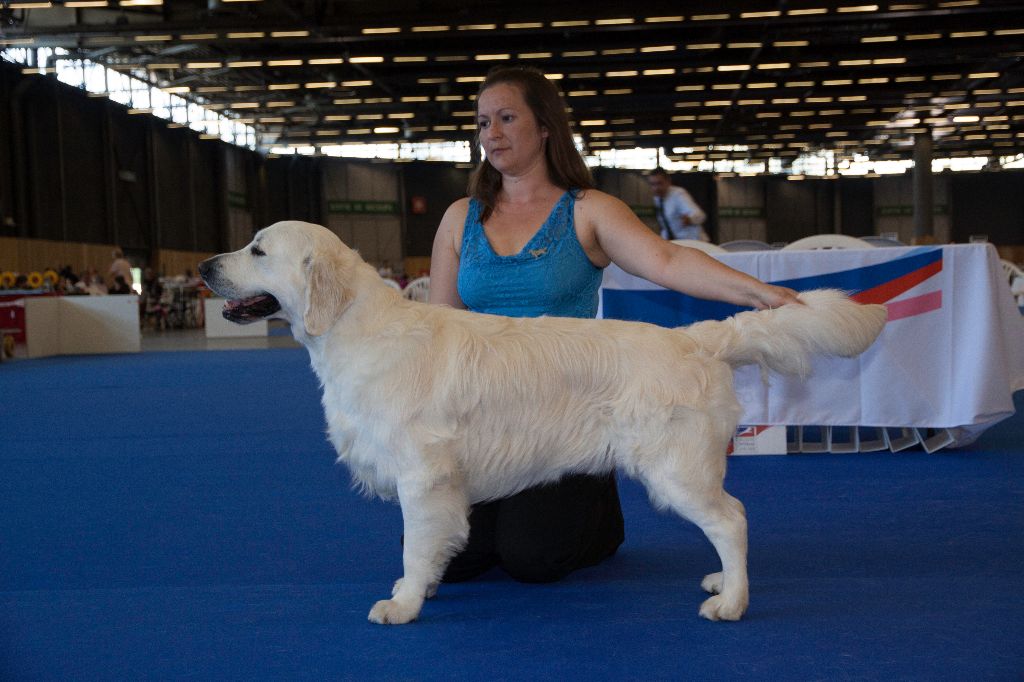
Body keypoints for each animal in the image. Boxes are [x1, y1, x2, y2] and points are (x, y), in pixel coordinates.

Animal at [199, 220, 888, 622]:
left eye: (257, 250)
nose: (205, 267)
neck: (353, 330)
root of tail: (695, 338)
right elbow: (429, 545)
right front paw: (424, 587)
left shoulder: (422, 474)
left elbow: (417, 544)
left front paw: (404, 602)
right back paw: (722, 582)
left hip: (674, 467)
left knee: (732, 519)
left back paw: (735, 601)